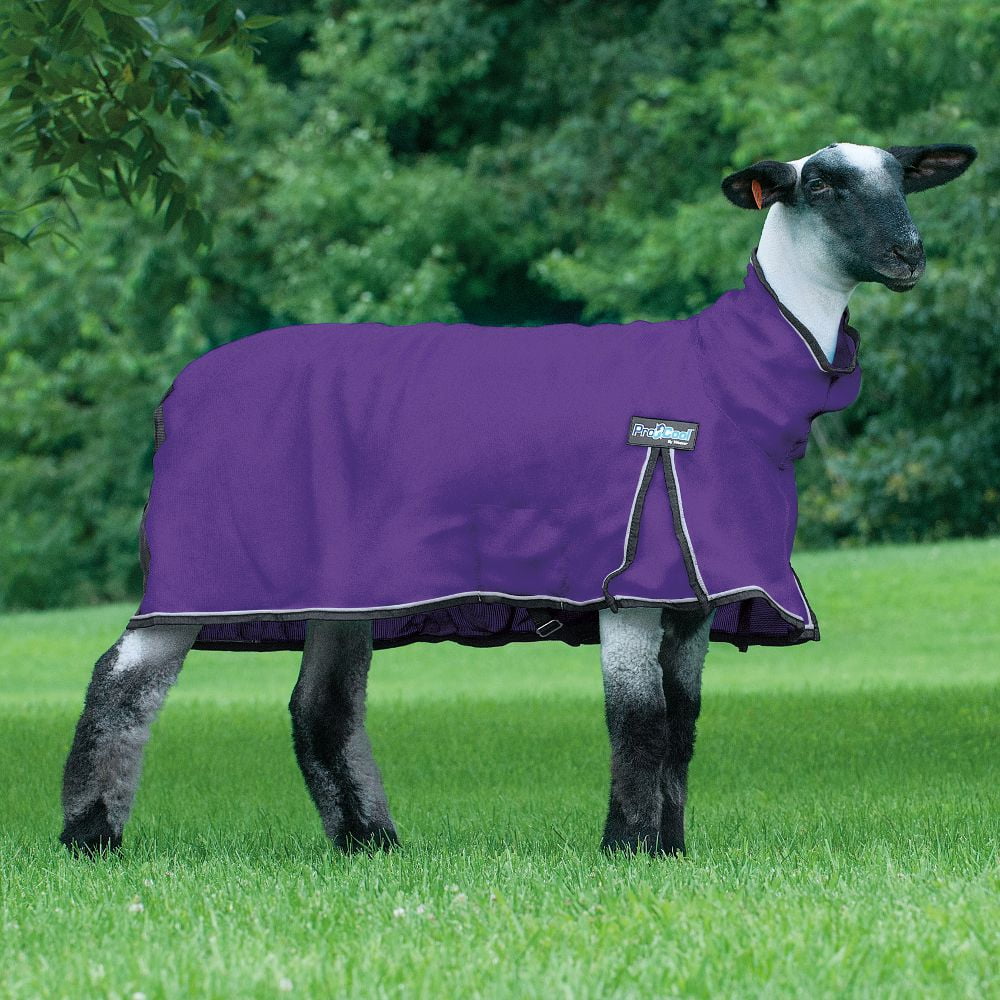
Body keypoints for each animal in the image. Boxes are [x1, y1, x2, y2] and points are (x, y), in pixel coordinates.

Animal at [60, 142, 977, 857]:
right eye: (822, 187)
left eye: (905, 176)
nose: (911, 255)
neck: (728, 374)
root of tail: (175, 397)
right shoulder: (634, 574)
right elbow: (639, 722)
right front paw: (627, 848)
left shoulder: (701, 586)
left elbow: (683, 725)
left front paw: (674, 849)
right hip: (198, 563)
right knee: (122, 683)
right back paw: (90, 836)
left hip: (343, 582)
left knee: (321, 706)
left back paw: (369, 843)